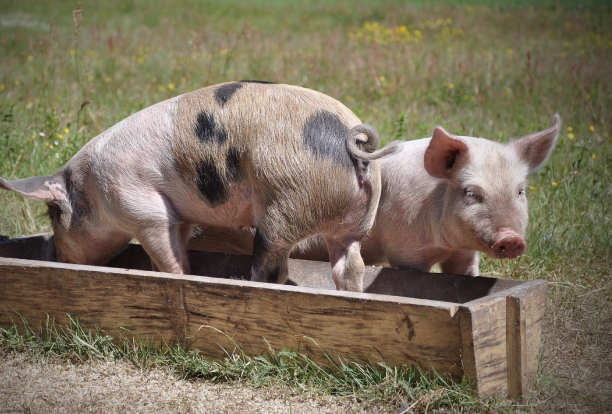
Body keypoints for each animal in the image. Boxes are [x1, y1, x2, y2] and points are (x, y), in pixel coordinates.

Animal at [0, 81, 396, 292]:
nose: (61, 257)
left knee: (273, 267)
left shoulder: (141, 208)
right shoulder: (182, 214)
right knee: (350, 266)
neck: (93, 191)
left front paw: (180, 278)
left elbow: (168, 256)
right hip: (353, 225)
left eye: (53, 213)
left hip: (285, 205)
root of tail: (354, 144)